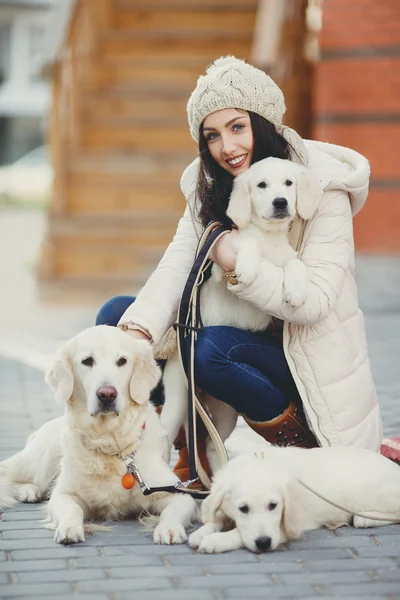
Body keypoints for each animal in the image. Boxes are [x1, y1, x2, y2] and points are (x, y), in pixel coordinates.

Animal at [0, 326, 198, 548]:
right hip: (38, 462)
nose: (107, 394)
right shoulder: (65, 493)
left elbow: (172, 511)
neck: (111, 444)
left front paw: (169, 529)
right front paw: (69, 528)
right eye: (87, 361)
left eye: (122, 361)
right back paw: (28, 490)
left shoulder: (177, 492)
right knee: (6, 472)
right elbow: (72, 508)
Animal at [159, 157, 322, 472]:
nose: (281, 202)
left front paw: (296, 292)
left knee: (211, 445)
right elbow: (247, 244)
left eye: (289, 183)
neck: (269, 238)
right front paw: (247, 267)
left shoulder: (287, 259)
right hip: (176, 398)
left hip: (224, 411)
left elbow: (295, 264)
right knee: (160, 441)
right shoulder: (220, 267)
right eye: (261, 185)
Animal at [189, 446, 400, 552]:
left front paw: (216, 541)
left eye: (273, 506)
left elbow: (239, 534)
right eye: (243, 509)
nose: (264, 543)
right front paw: (201, 532)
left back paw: (365, 518)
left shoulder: (288, 527)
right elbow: (217, 518)